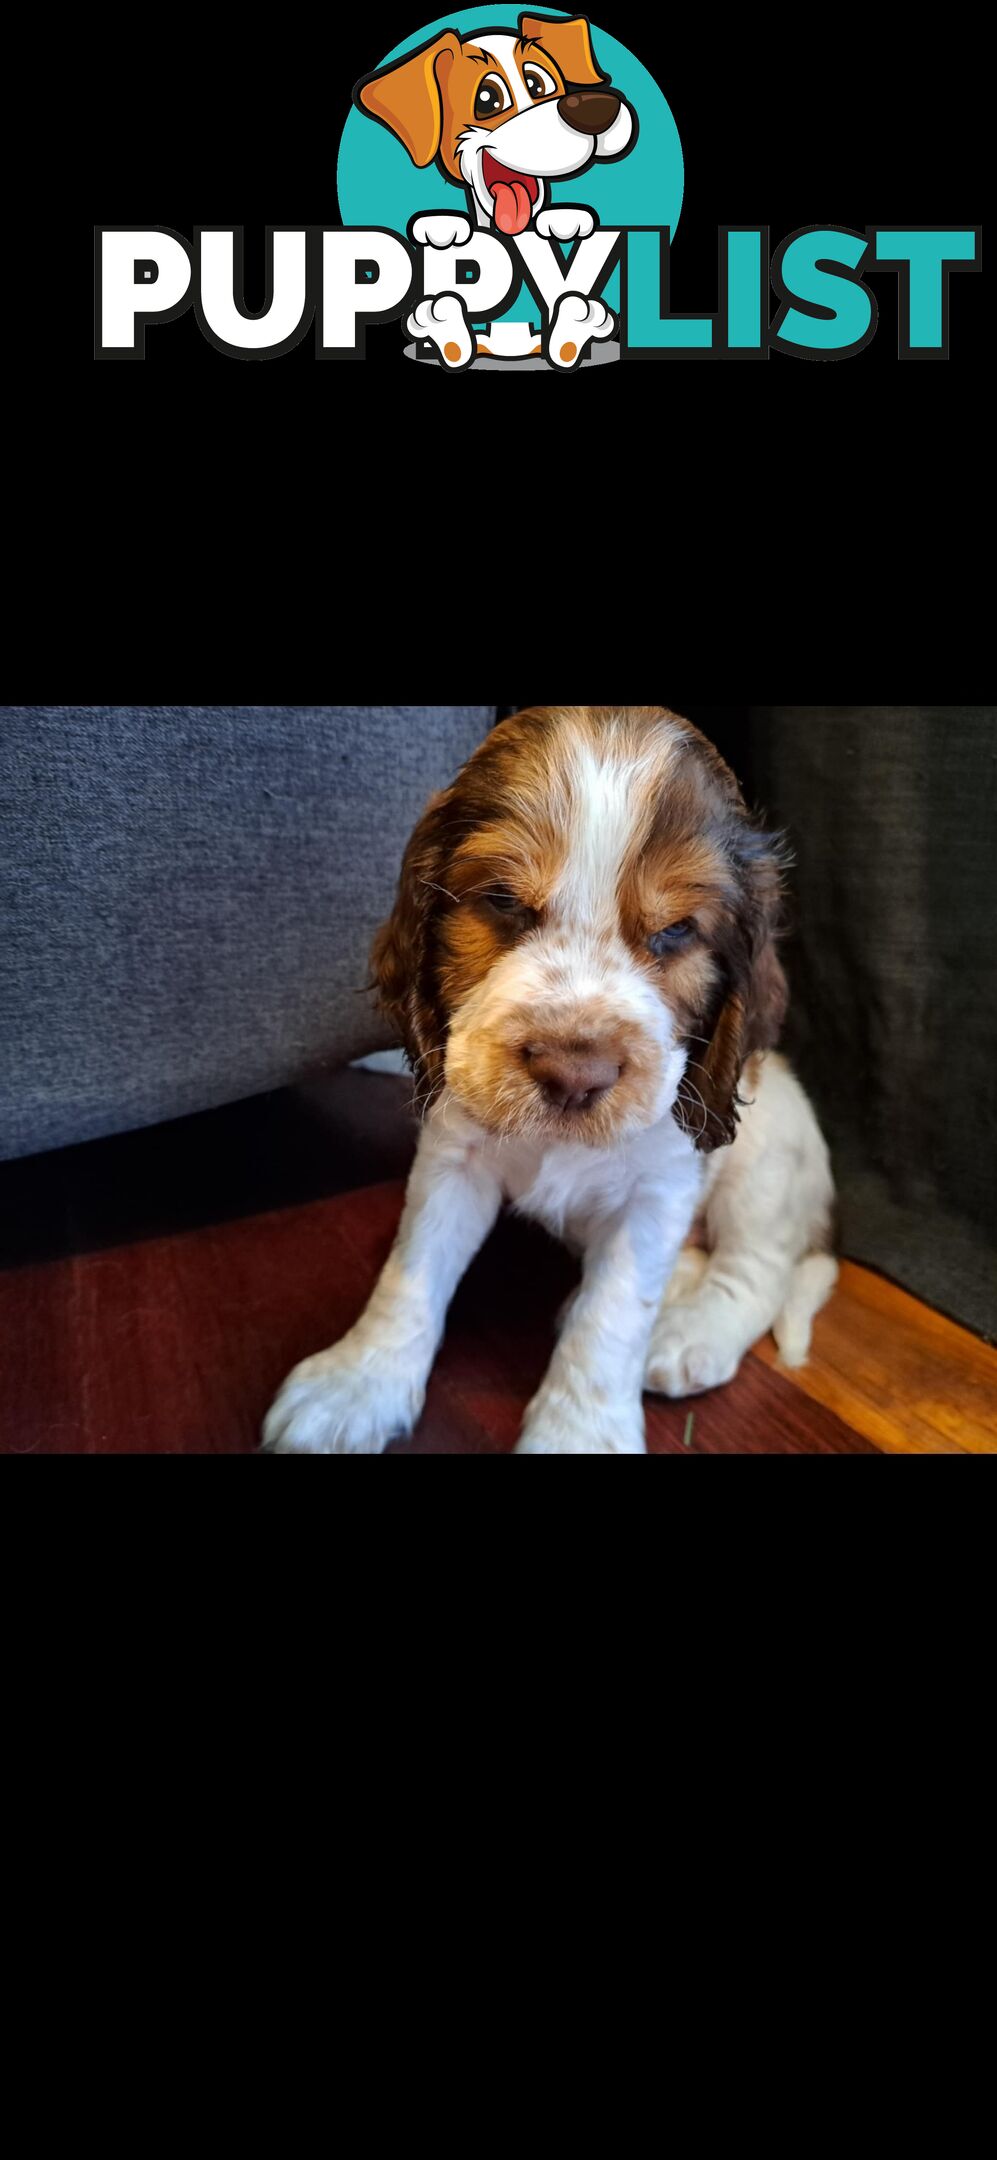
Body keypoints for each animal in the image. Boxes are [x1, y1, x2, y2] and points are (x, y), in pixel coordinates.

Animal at [263, 704, 832, 1451]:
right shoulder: (453, 1153)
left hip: (767, 1166)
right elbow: (411, 1270)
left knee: (757, 1270)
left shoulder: (659, 1191)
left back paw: (688, 1336)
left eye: (677, 930)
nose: (574, 1075)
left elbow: (611, 1318)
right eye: (503, 900)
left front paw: (579, 1433)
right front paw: (358, 1382)